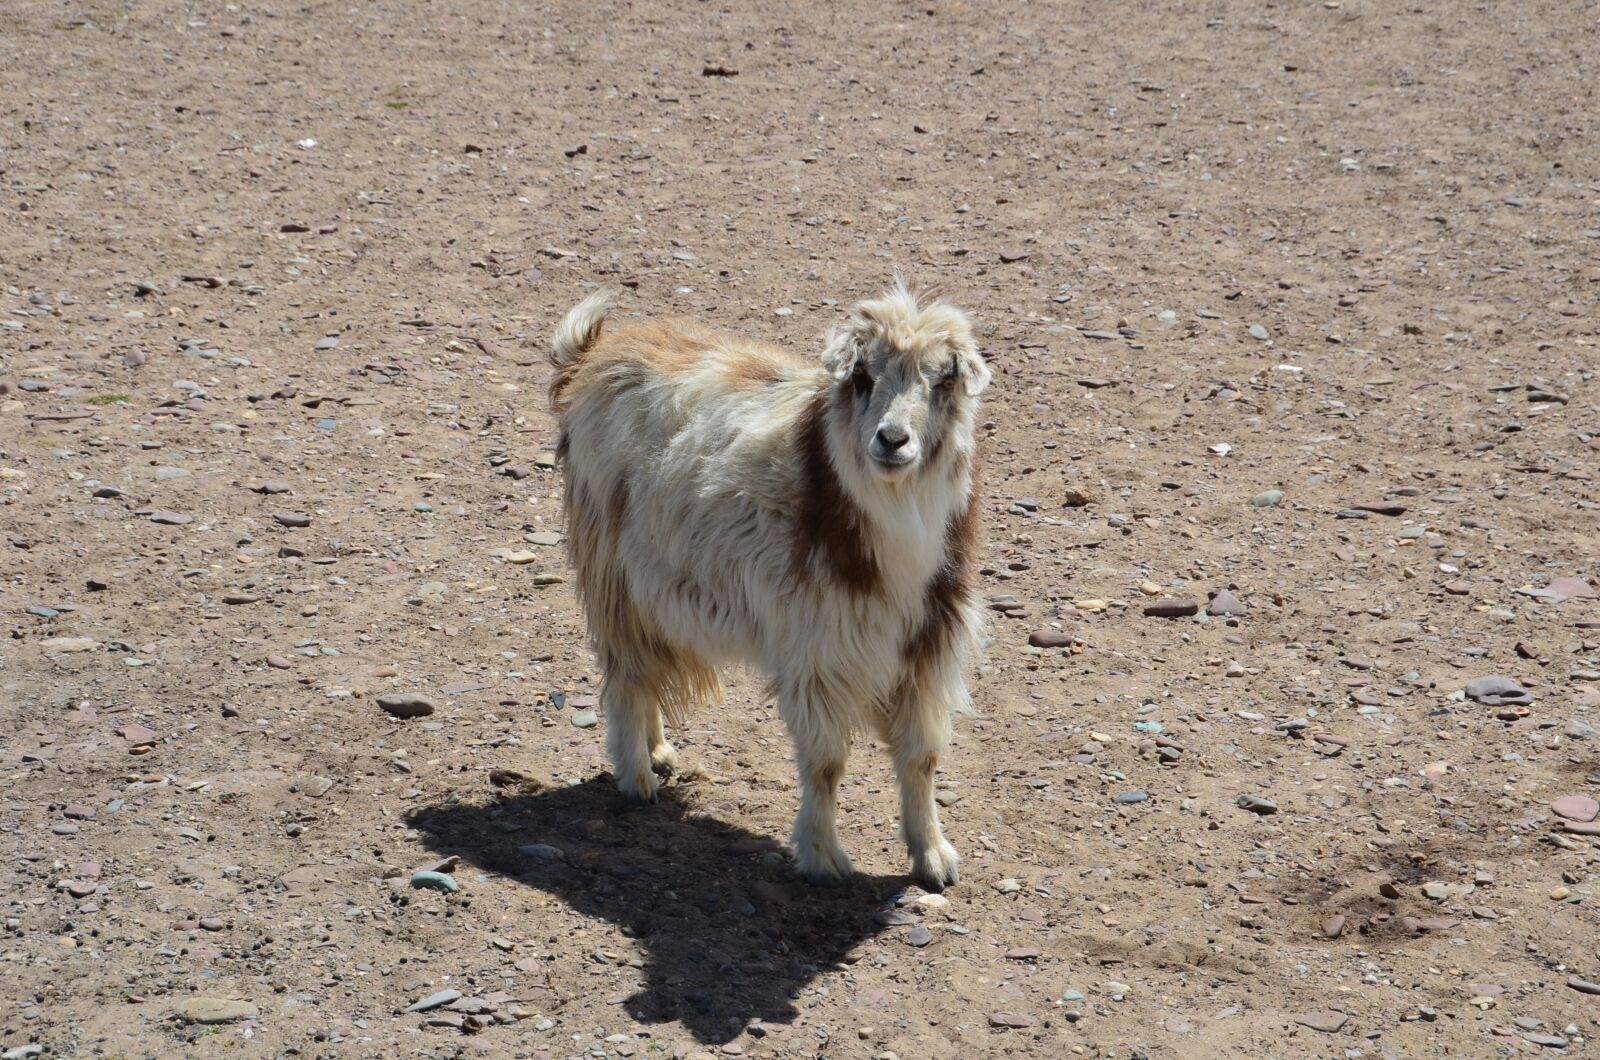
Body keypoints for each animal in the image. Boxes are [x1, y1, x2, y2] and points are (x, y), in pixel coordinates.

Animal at [547, 280, 989, 891]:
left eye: (944, 381)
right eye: (861, 377)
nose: (892, 440)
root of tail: (592, 354)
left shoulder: (927, 645)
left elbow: (921, 758)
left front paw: (934, 857)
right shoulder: (819, 647)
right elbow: (826, 763)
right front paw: (823, 857)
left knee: (646, 667)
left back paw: (659, 750)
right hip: (612, 570)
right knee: (625, 675)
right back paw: (637, 777)